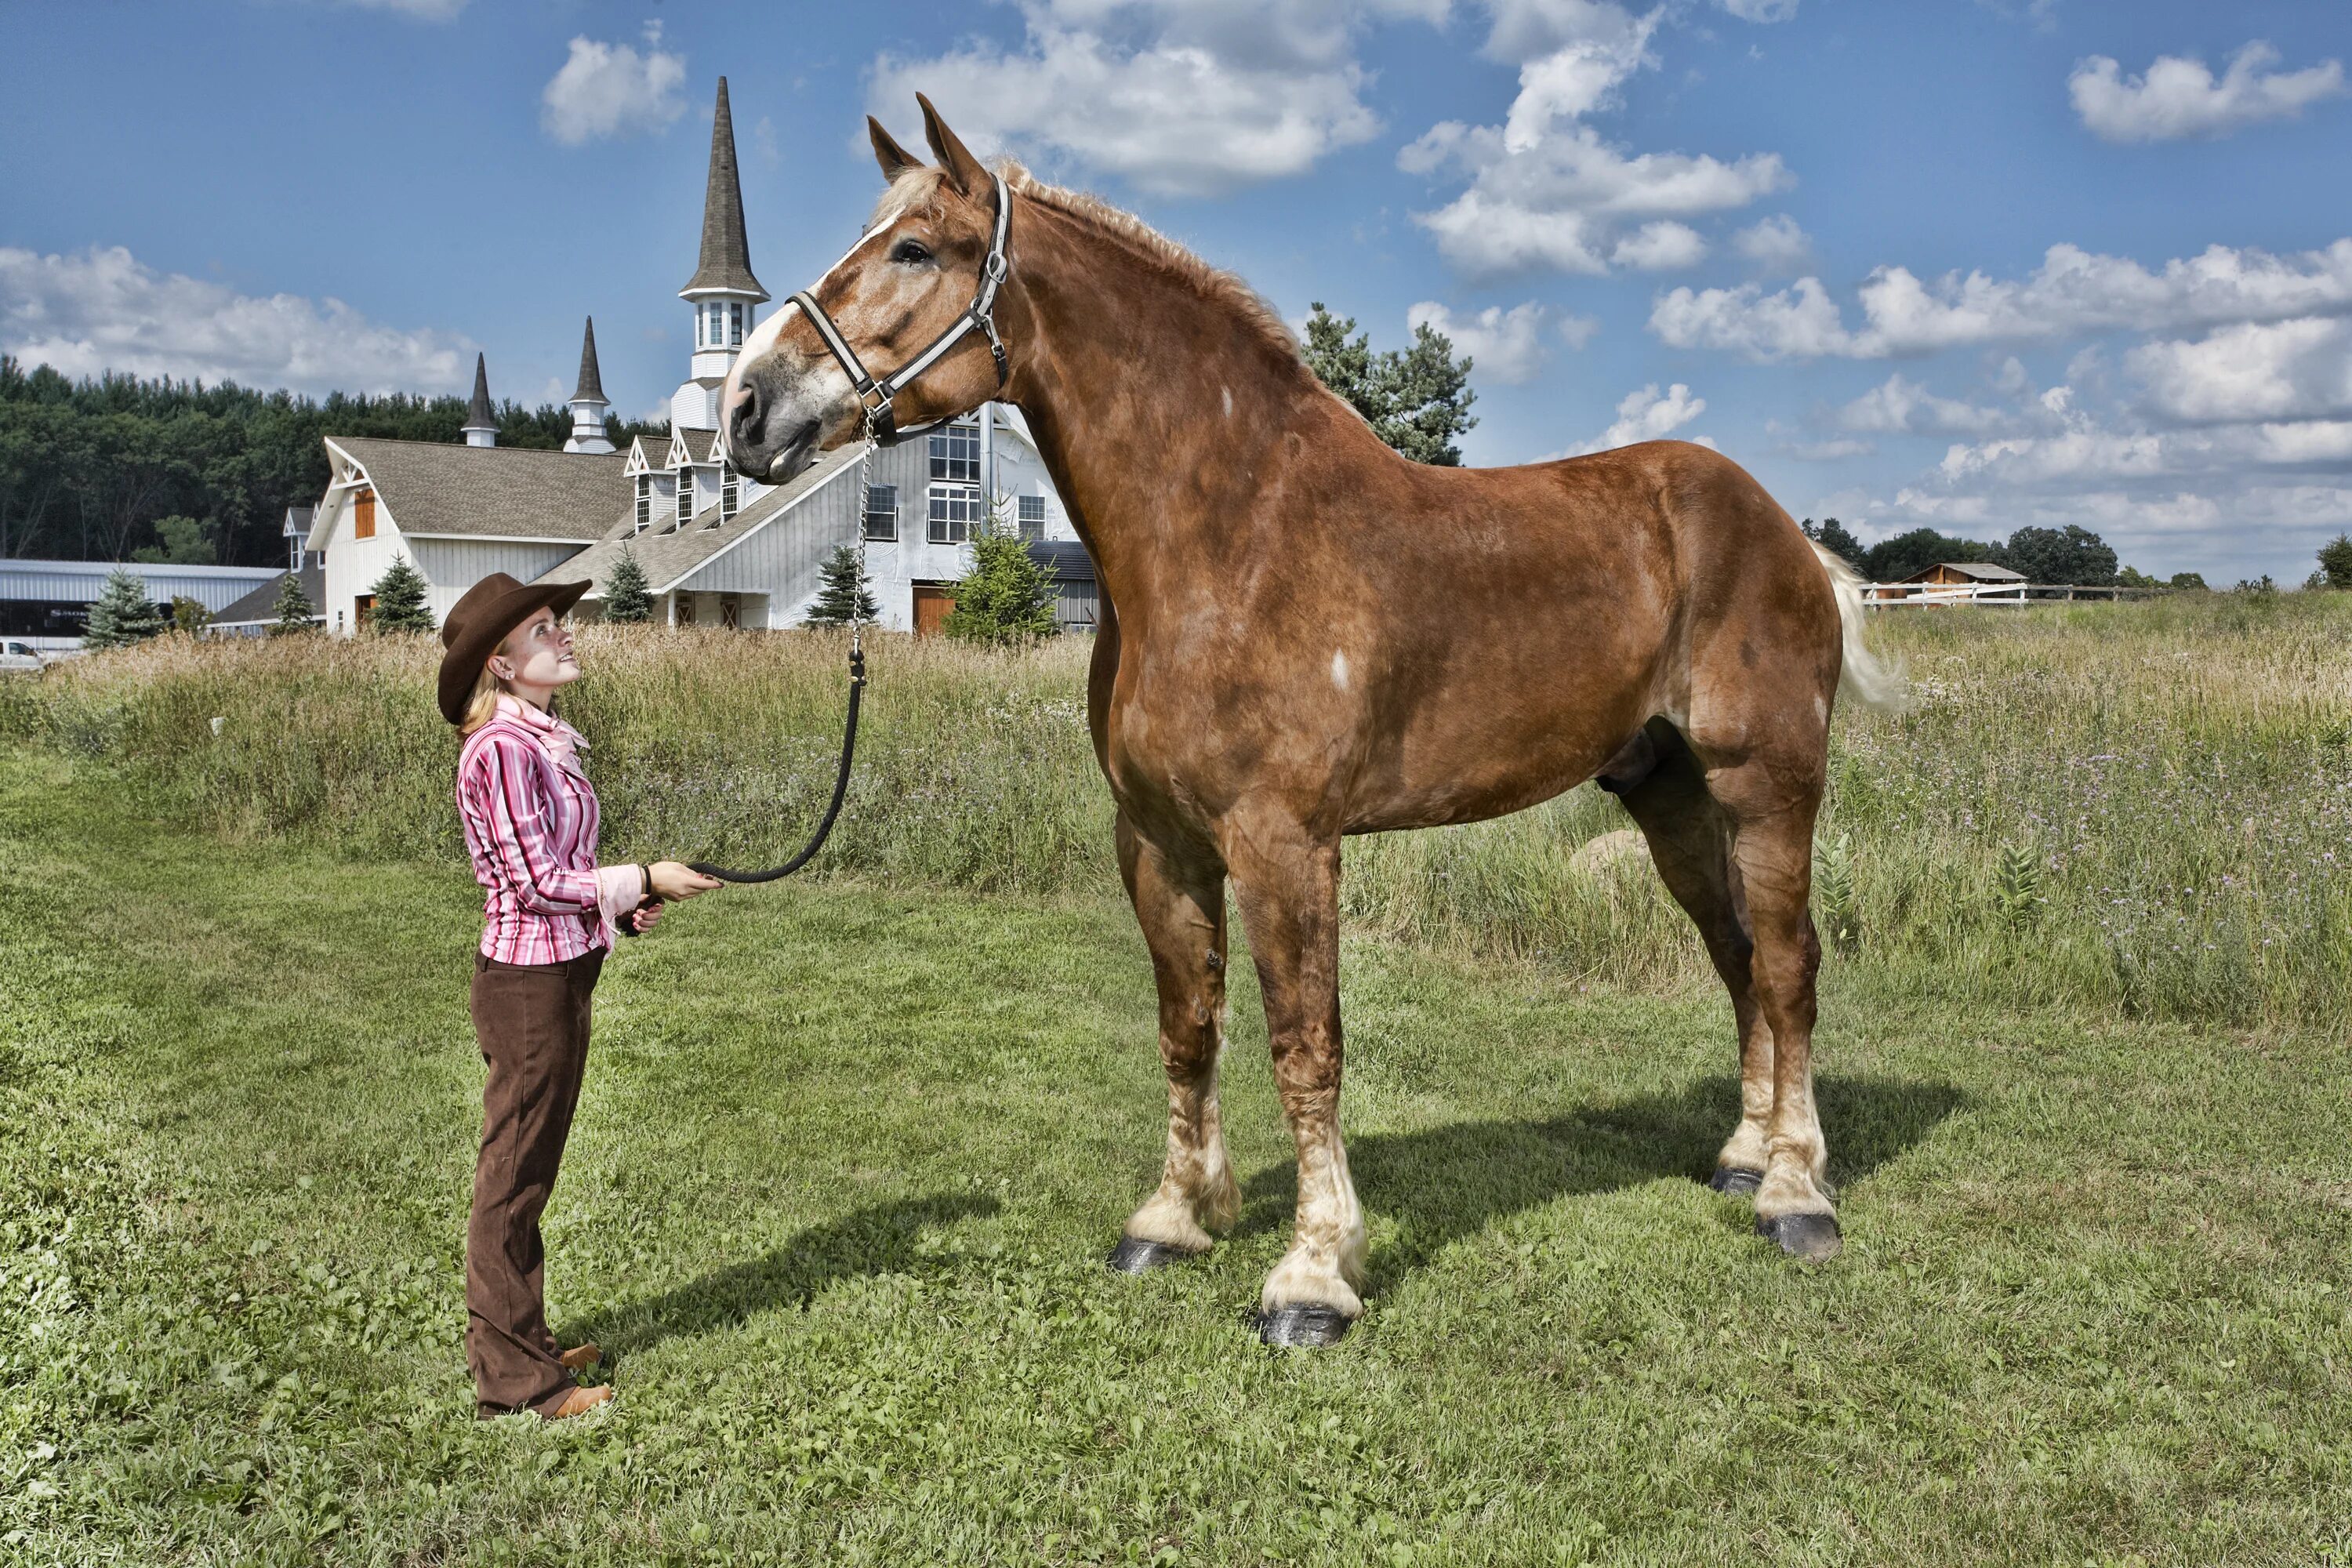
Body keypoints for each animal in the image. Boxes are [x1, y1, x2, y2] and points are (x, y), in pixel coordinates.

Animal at [724, 98, 1900, 1354]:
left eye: (912, 250)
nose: (746, 408)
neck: (1228, 538)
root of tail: (1788, 534)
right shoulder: (1158, 842)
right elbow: (1190, 1026)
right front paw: (1174, 1218)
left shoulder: (1284, 842)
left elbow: (1304, 1043)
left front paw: (1314, 1273)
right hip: (1670, 793)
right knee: (1737, 957)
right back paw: (1743, 1158)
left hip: (1768, 786)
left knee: (1788, 964)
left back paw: (1796, 1194)